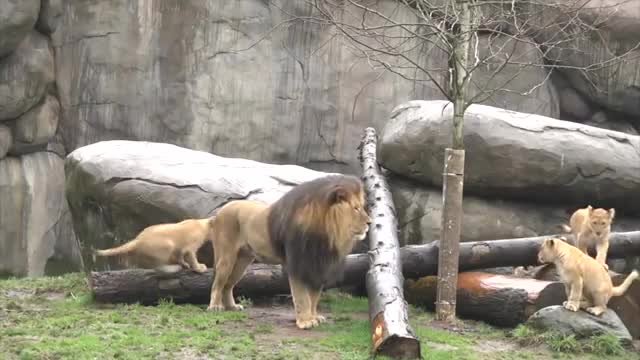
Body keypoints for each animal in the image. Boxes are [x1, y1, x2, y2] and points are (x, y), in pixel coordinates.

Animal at [208, 174, 372, 330]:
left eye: (361, 207)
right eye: (356, 208)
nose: (370, 222)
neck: (327, 233)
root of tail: (218, 213)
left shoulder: (319, 266)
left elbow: (314, 297)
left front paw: (314, 317)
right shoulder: (298, 264)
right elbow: (302, 296)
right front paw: (305, 322)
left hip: (242, 261)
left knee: (228, 285)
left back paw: (232, 307)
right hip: (226, 257)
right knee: (218, 283)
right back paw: (215, 306)